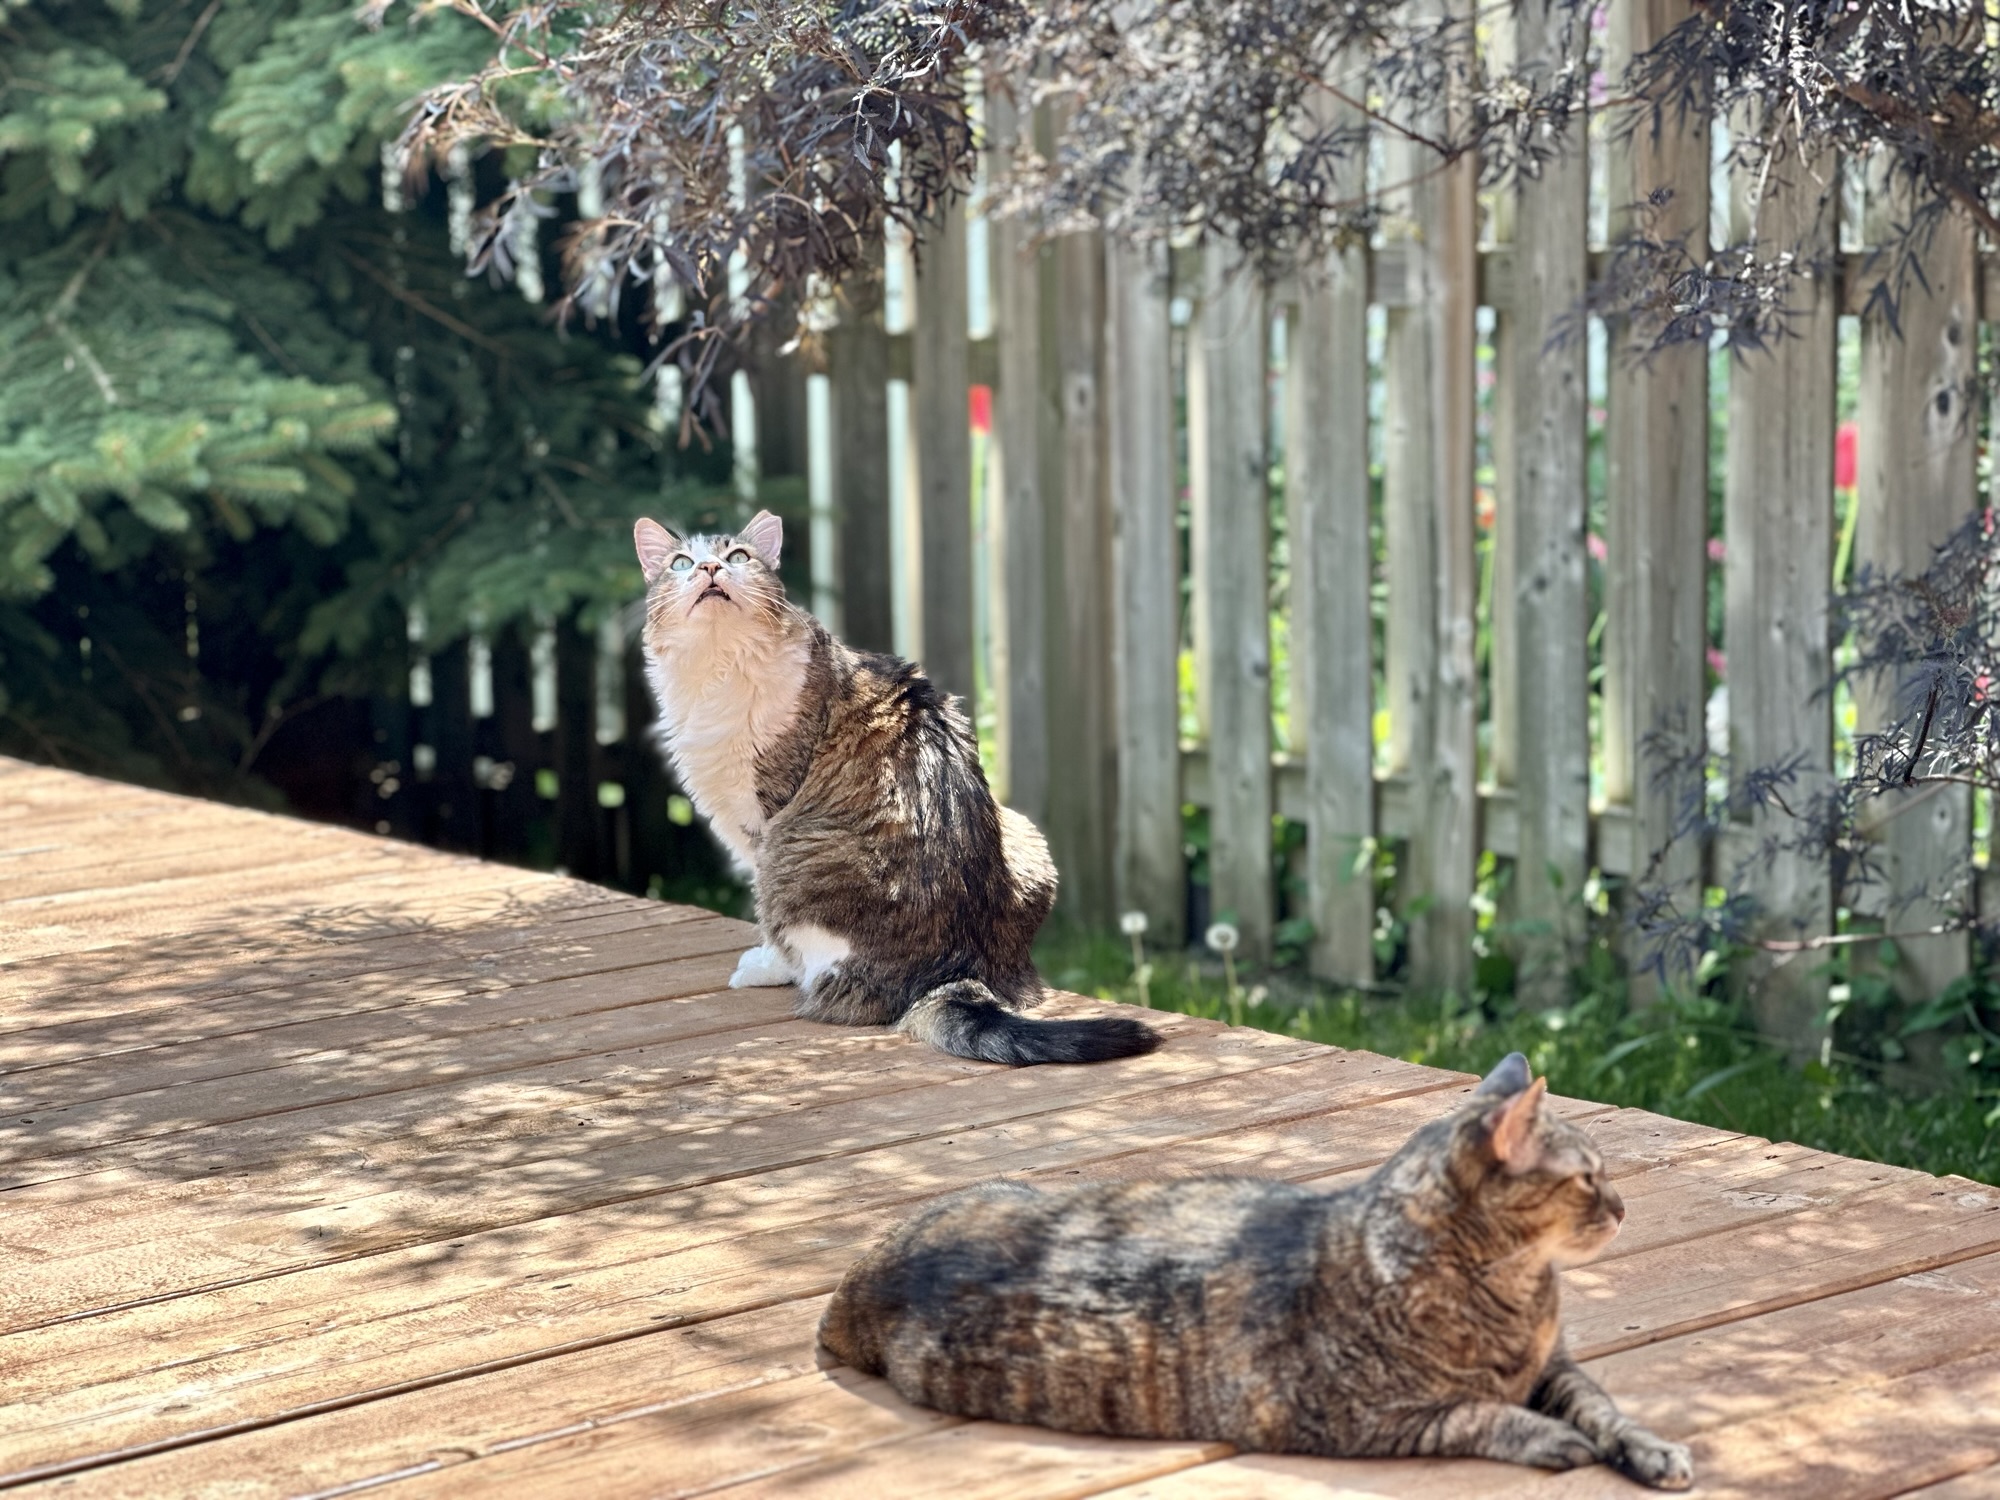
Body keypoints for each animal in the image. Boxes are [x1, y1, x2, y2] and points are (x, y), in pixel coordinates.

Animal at [624, 516, 1160, 1072]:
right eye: (681, 563)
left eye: (739, 557)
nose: (710, 568)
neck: (719, 663)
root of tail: (954, 971)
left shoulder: (762, 818)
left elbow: (766, 922)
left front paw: (765, 963)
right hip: (1023, 830)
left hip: (792, 855)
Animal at [820, 1056, 1696, 1496]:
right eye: (1587, 1179)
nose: (1622, 1207)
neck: (1514, 1288)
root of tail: (862, 1272)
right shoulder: (1369, 1419)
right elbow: (1482, 1415)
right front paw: (1550, 1438)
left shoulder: (1559, 1370)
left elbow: (1608, 1411)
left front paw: (1648, 1451)